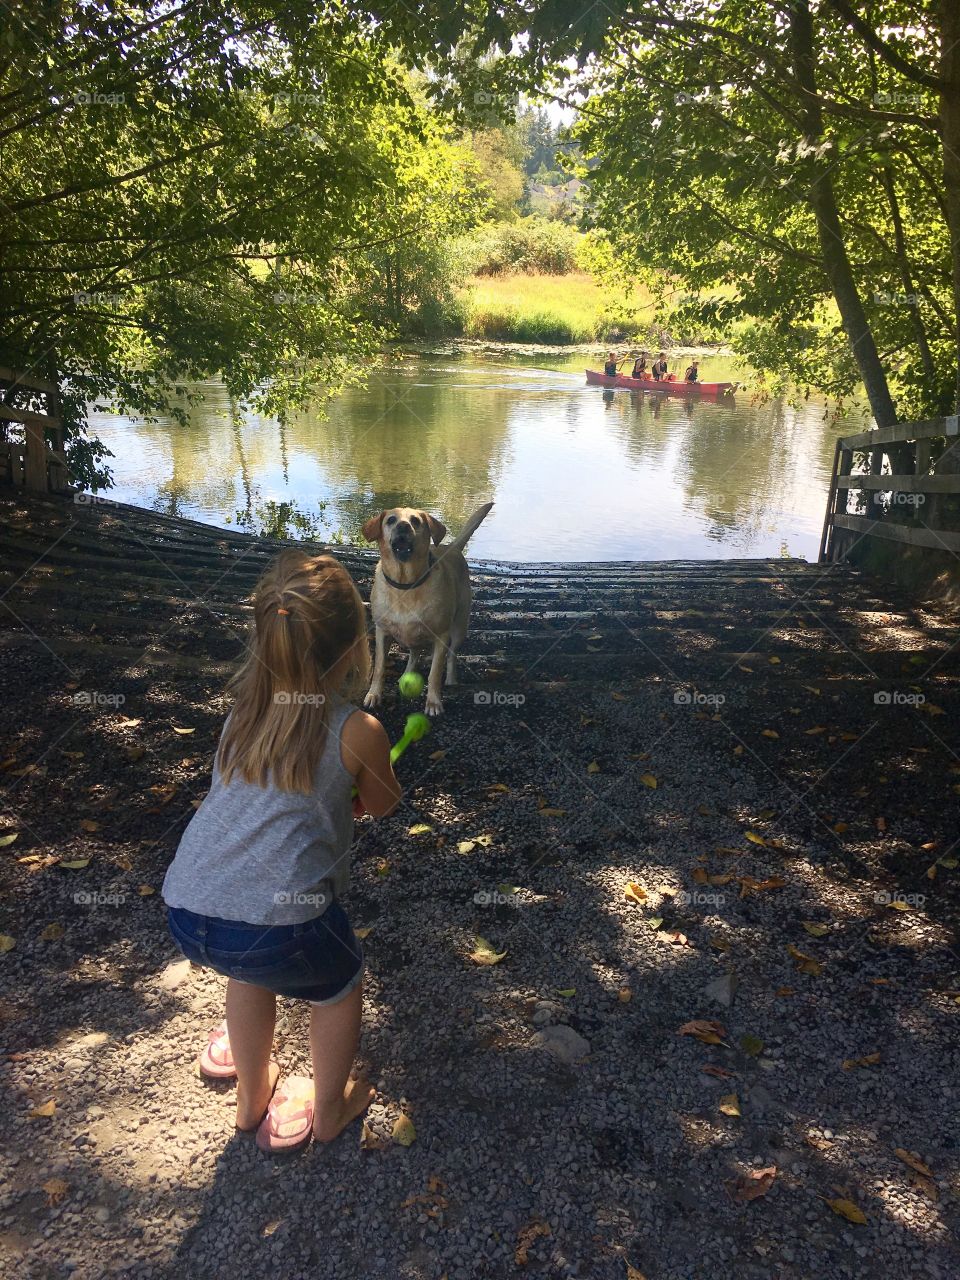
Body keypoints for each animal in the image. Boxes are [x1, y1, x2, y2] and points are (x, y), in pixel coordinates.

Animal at [363, 499, 496, 716]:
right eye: (391, 520)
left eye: (416, 521)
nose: (403, 526)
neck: (406, 585)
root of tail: (453, 548)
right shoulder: (382, 631)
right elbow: (379, 667)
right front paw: (374, 695)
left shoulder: (441, 636)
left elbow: (435, 672)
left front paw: (433, 702)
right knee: (415, 654)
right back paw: (407, 674)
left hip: (459, 628)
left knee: (451, 656)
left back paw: (450, 680)